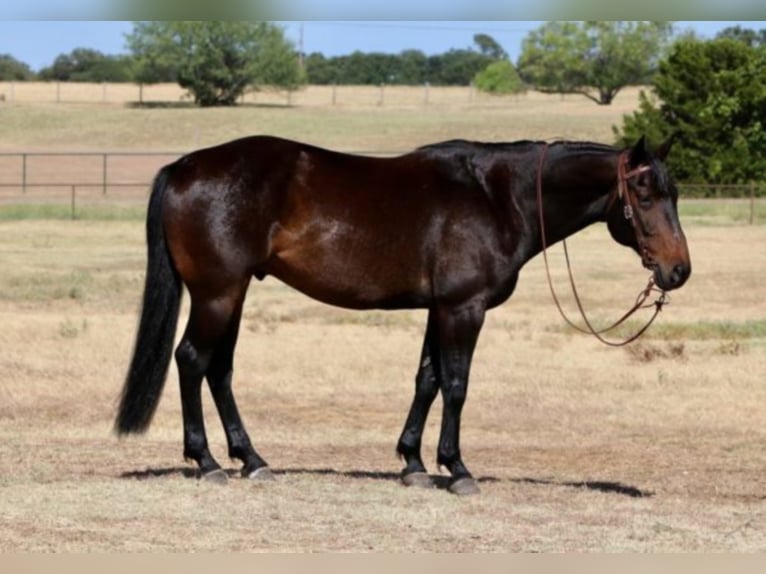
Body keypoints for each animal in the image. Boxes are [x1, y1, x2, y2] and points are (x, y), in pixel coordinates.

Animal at [115, 135, 696, 496]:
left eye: (673, 192)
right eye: (643, 192)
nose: (678, 270)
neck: (497, 197)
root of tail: (185, 167)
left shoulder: (439, 309)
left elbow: (427, 380)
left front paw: (413, 463)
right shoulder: (464, 308)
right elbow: (457, 384)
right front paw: (456, 469)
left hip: (232, 295)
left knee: (219, 370)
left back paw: (252, 460)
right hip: (217, 293)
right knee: (193, 361)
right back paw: (208, 462)